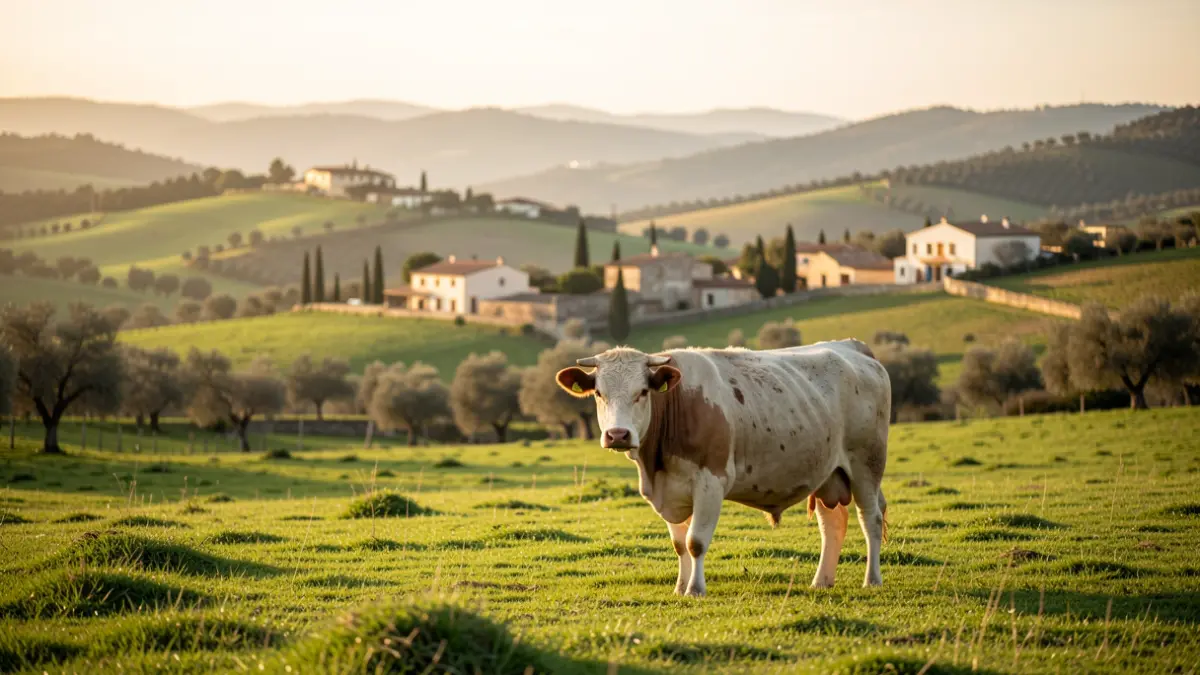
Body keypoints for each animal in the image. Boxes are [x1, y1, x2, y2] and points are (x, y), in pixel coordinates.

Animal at [554, 339, 890, 597]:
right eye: (599, 394)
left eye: (643, 392)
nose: (618, 435)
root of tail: (853, 347)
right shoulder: (670, 489)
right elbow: (679, 544)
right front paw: (680, 587)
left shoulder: (710, 483)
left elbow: (695, 542)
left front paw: (695, 589)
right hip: (827, 473)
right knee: (832, 523)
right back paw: (821, 581)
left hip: (866, 465)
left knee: (870, 519)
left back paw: (871, 580)